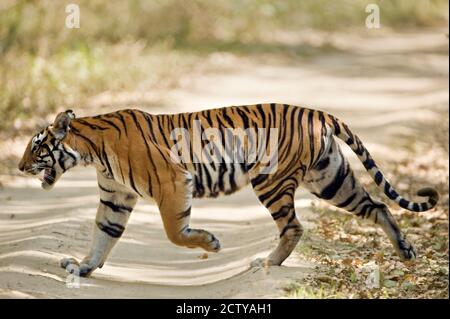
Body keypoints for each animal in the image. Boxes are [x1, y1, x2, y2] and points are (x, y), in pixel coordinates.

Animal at [19, 104, 438, 278]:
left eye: (37, 147)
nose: (20, 167)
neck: (90, 150)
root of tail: (317, 112)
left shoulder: (173, 182)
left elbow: (175, 232)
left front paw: (211, 243)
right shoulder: (115, 198)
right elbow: (103, 236)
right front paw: (83, 267)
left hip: (272, 180)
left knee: (294, 226)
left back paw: (267, 263)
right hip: (330, 178)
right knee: (376, 206)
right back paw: (406, 250)